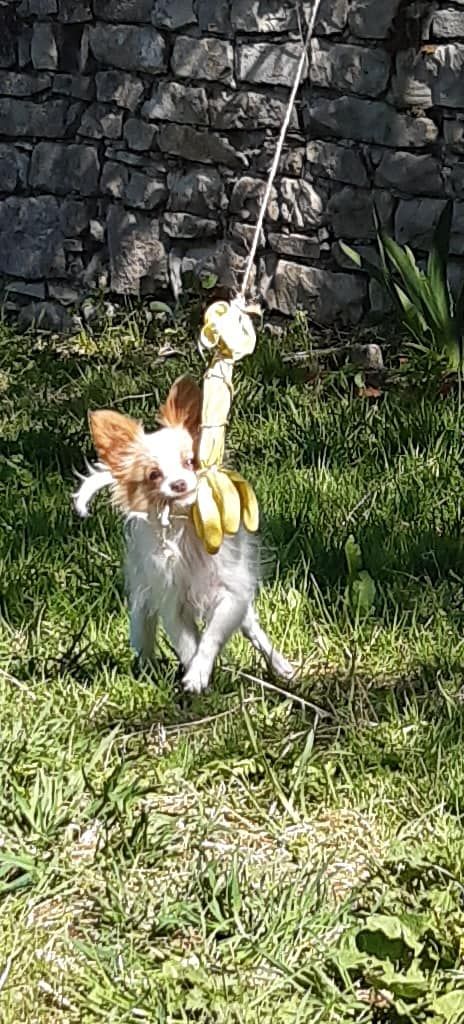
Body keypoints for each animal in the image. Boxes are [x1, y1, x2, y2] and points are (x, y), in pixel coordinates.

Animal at [75, 376, 292, 696]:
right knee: (144, 637)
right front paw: (197, 676)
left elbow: (211, 636)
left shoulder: (231, 594)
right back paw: (148, 670)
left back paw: (280, 666)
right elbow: (190, 646)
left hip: (242, 604)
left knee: (252, 629)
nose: (178, 484)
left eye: (190, 462)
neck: (186, 528)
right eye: (154, 474)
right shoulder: (172, 604)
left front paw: (200, 672)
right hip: (142, 605)